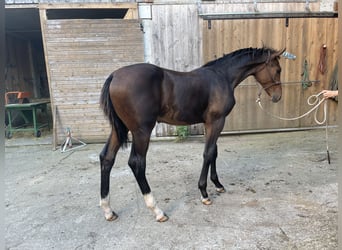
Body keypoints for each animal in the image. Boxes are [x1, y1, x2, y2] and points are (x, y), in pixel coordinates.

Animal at [99, 46, 286, 221]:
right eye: (278, 70)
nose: (278, 97)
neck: (222, 77)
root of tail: (115, 76)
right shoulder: (216, 121)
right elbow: (208, 153)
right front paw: (204, 193)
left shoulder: (210, 123)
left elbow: (213, 152)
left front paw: (217, 184)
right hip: (141, 131)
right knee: (137, 163)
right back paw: (157, 210)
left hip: (119, 129)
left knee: (107, 157)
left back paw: (108, 210)